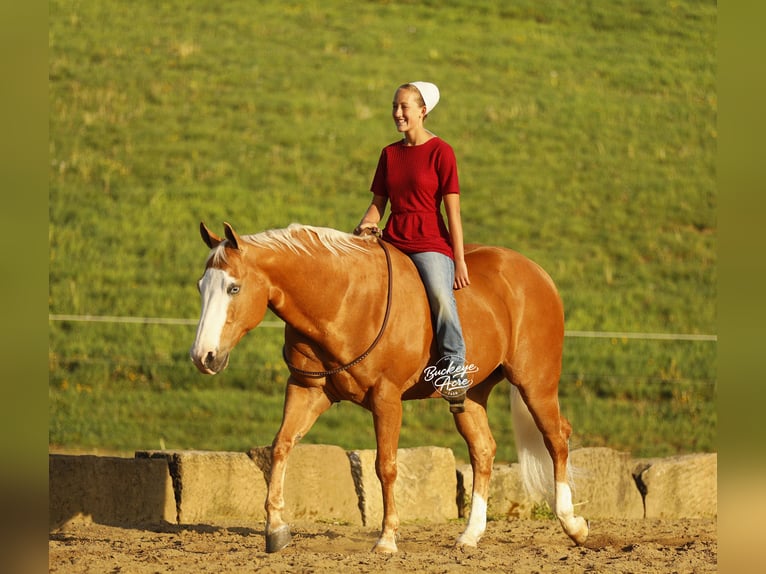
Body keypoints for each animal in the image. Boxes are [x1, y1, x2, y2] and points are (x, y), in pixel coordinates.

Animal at [190, 221, 589, 553]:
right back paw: (470, 535)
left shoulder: (387, 398)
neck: (343, 301)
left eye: (234, 287)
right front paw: (275, 529)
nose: (202, 356)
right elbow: (281, 447)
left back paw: (573, 526)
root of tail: (536, 274)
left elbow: (386, 466)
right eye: (201, 287)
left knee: (556, 437)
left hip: (535, 383)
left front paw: (387, 539)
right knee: (483, 450)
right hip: (470, 394)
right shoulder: (306, 390)